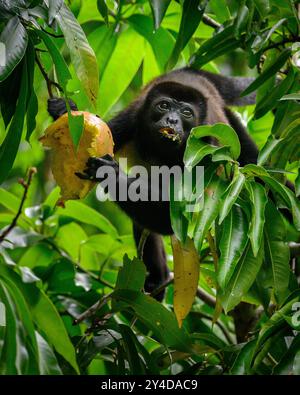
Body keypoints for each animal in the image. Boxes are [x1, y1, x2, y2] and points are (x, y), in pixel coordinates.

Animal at [48, 68, 258, 302]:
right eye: (163, 106)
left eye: (186, 112)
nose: (172, 119)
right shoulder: (131, 119)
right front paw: (65, 111)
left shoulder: (206, 149)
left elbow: (170, 218)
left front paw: (110, 173)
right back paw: (158, 278)